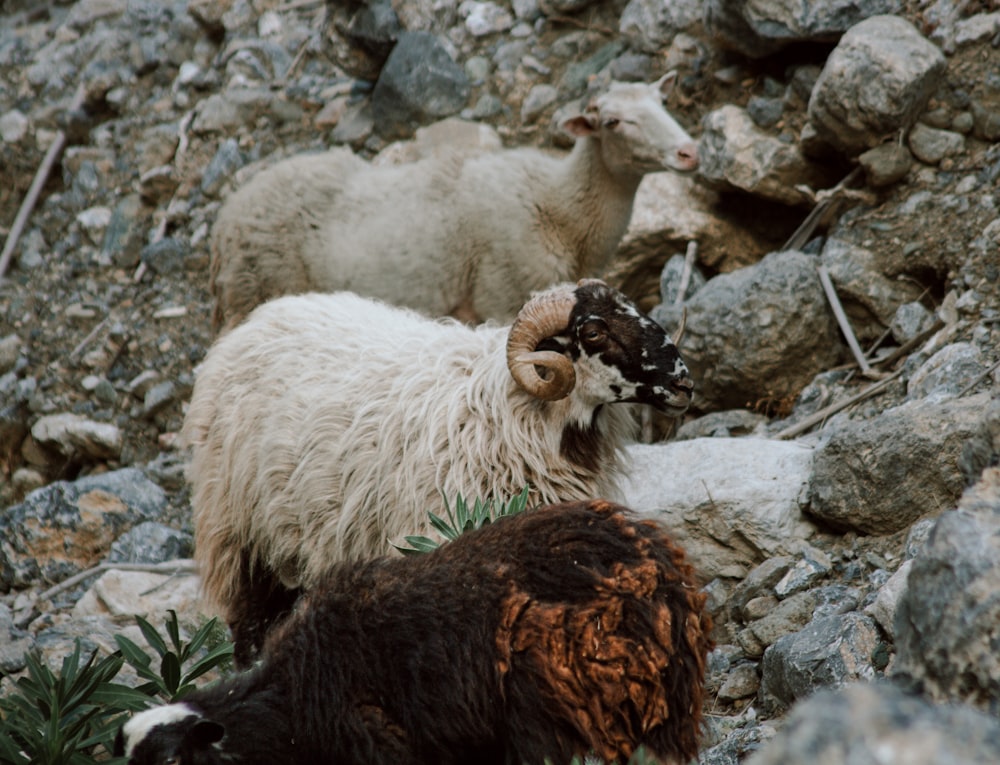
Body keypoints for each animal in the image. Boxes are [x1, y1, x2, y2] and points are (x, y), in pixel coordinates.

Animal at [182, 280, 696, 664]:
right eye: (592, 332)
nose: (683, 382)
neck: (510, 414)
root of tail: (260, 318)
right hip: (240, 536)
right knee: (248, 630)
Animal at [208, 72, 700, 332]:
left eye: (663, 101)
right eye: (613, 122)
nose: (689, 152)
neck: (561, 207)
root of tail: (226, 220)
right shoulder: (503, 299)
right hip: (255, 289)